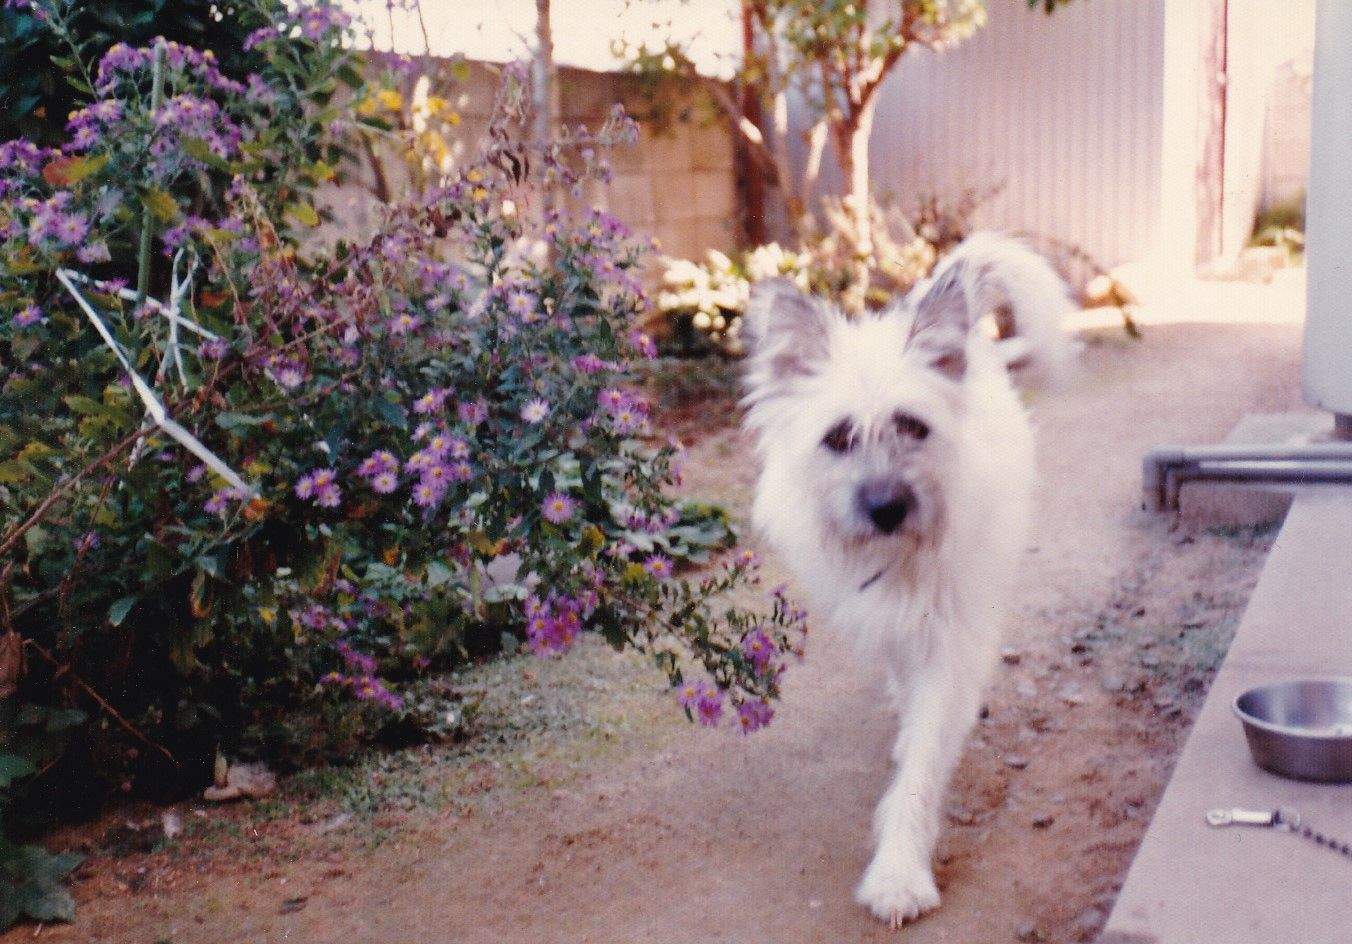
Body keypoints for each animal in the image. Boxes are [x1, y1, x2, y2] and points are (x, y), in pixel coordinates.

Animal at [746, 233, 1070, 925]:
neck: (898, 559)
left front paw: (898, 872)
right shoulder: (894, 624)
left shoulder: (948, 641)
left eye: (914, 427)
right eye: (839, 437)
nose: (887, 508)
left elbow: (922, 764)